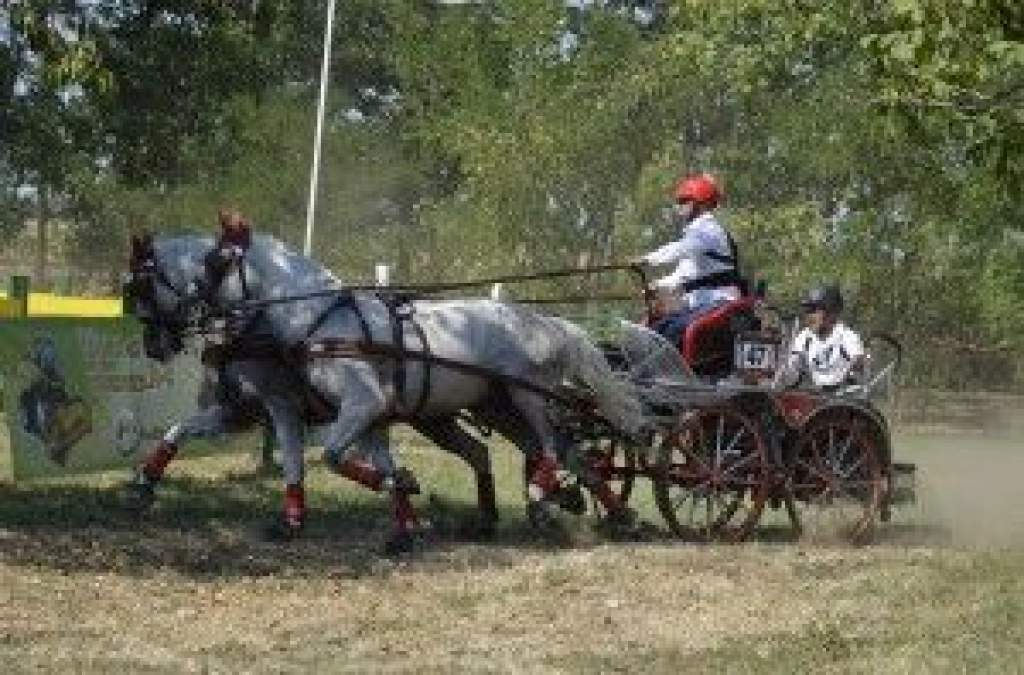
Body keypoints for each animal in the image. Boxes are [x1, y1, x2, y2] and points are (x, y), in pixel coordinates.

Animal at [123, 229, 638, 553]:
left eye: (144, 282)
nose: (153, 344)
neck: (314, 320)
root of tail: (542, 320)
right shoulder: (260, 409)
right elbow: (185, 432)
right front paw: (144, 485)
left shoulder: (348, 406)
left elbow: (332, 457)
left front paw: (404, 491)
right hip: (482, 410)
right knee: (545, 452)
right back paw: (590, 512)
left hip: (528, 397)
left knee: (551, 446)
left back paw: (547, 495)